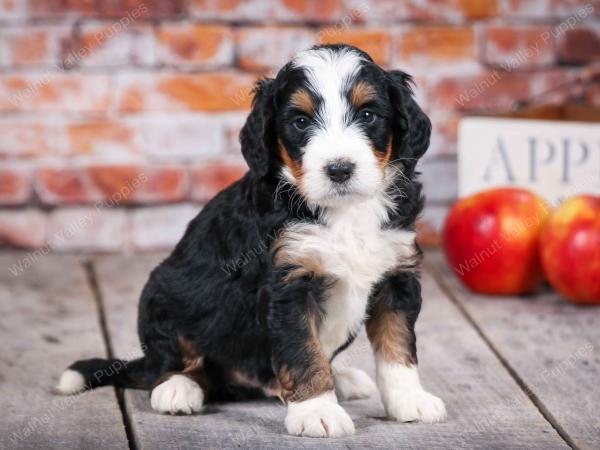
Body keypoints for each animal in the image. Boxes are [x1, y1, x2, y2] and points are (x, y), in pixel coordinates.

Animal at [57, 45, 446, 440]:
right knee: (171, 364)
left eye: (368, 114)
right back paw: (178, 388)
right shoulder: (288, 284)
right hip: (162, 295)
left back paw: (341, 378)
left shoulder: (397, 274)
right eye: (300, 122)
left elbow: (397, 345)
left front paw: (409, 400)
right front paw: (317, 411)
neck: (344, 212)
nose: (339, 169)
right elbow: (303, 351)